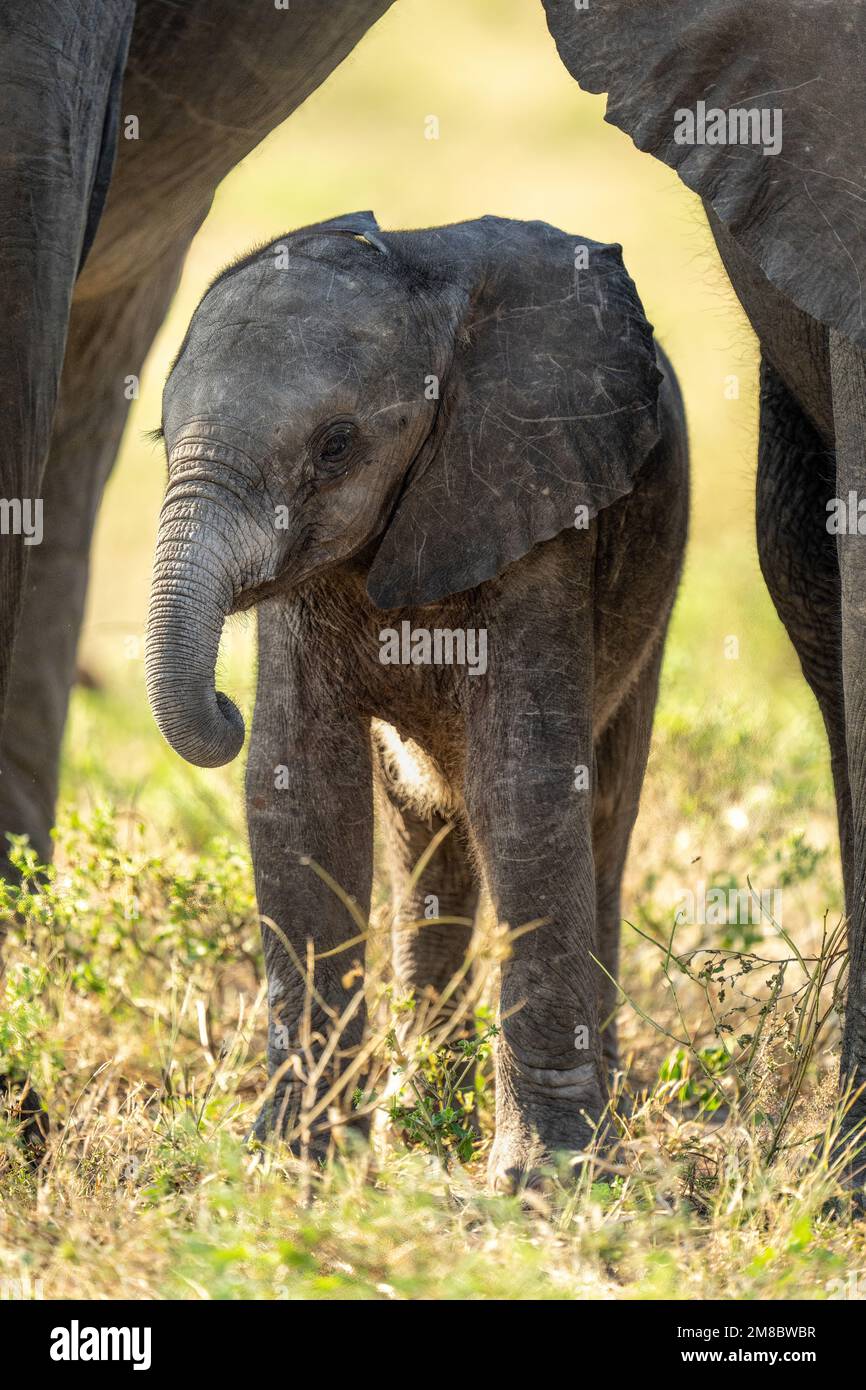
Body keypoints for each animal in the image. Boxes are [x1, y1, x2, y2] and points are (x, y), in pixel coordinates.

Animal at [143, 210, 688, 1188]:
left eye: (336, 446)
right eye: (160, 432)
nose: (221, 706)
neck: (419, 275)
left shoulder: (539, 501)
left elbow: (525, 791)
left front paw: (545, 1181)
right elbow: (301, 792)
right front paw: (295, 1164)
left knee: (603, 813)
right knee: (424, 830)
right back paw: (419, 1108)